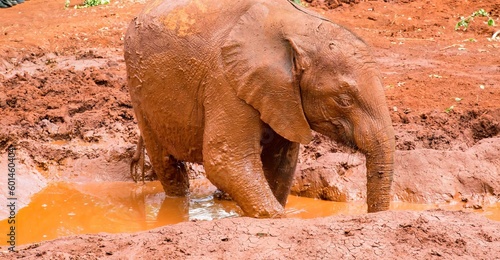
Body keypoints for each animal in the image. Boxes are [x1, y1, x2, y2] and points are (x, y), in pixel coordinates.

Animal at [124, 0, 394, 217]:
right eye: (343, 100)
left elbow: (282, 163)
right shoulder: (225, 80)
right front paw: (277, 218)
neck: (300, 30)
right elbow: (224, 161)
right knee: (166, 162)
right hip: (138, 87)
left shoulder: (284, 98)